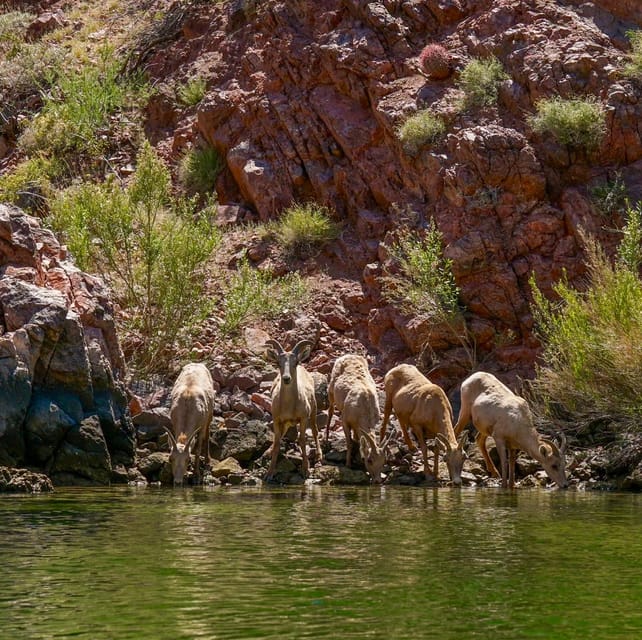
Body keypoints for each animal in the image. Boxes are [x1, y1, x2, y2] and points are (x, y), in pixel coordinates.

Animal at [262, 340, 320, 480]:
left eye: (296, 362)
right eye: (278, 363)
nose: (286, 378)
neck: (289, 407)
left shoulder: (303, 419)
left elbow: (302, 441)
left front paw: (306, 471)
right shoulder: (277, 419)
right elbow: (277, 442)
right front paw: (269, 473)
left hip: (314, 411)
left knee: (315, 430)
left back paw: (319, 455)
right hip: (286, 422)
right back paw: (267, 453)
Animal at [324, 352, 390, 482]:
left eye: (383, 461)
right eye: (369, 460)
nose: (377, 481)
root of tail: (347, 355)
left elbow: (358, 441)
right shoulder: (345, 420)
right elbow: (349, 442)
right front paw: (348, 464)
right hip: (331, 391)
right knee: (330, 411)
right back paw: (326, 439)